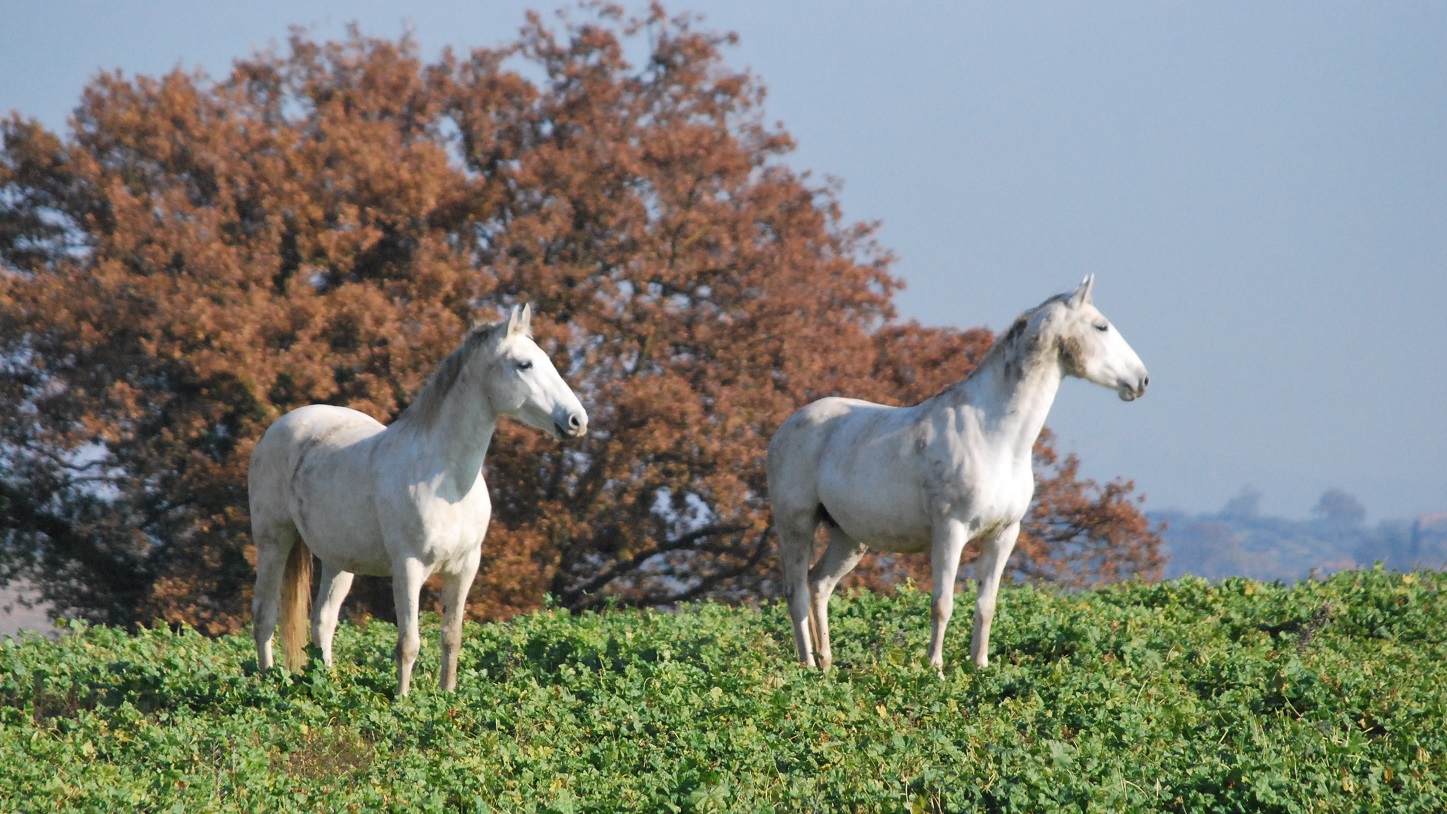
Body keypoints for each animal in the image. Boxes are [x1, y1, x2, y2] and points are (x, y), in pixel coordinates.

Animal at [247, 304, 587, 695]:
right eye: (524, 364)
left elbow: (451, 637)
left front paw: (447, 695)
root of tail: (279, 428)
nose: (577, 420)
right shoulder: (408, 568)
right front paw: (403, 699)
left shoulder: (464, 568)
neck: (447, 481)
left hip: (338, 560)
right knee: (264, 615)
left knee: (323, 620)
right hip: (274, 541)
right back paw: (265, 681)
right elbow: (408, 643)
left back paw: (328, 684)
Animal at [766, 276, 1148, 674]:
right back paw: (807, 666)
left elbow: (986, 605)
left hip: (848, 538)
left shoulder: (1003, 535)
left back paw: (826, 665)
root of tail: (787, 427)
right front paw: (935, 668)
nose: (1141, 380)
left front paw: (980, 667)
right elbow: (942, 604)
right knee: (796, 591)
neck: (995, 437)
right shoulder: (950, 532)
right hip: (796, 525)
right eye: (1101, 326)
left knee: (820, 584)